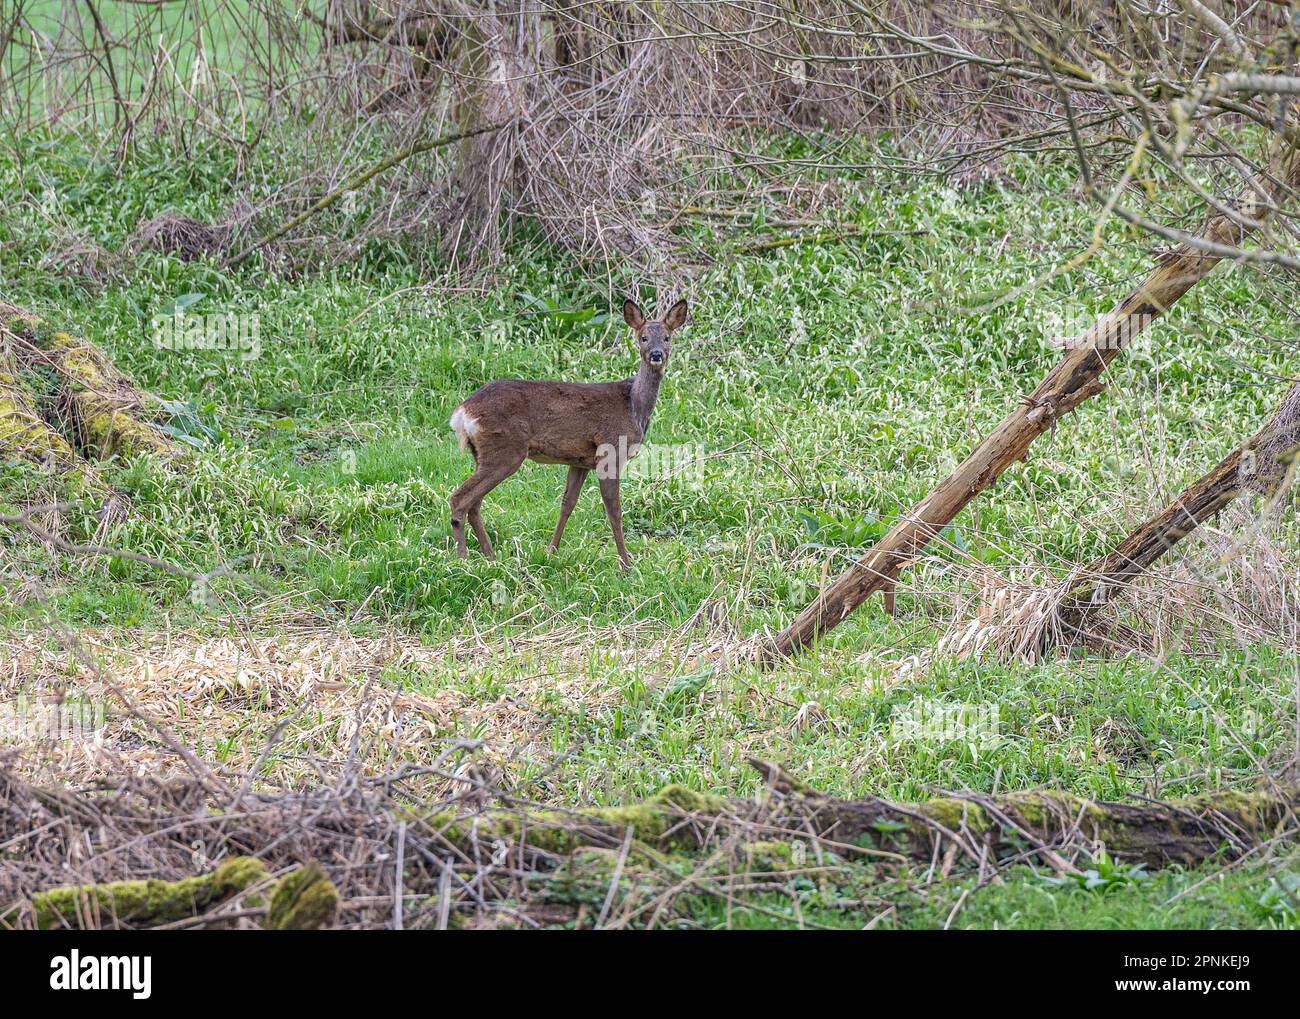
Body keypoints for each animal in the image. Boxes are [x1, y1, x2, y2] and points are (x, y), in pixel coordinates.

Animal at [448, 297, 688, 569]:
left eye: (668, 337)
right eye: (643, 337)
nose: (657, 355)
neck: (634, 406)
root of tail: (462, 412)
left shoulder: (580, 461)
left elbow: (567, 503)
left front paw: (551, 551)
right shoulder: (610, 451)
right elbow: (614, 510)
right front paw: (626, 564)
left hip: (481, 453)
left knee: (474, 503)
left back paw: (490, 556)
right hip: (506, 450)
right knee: (460, 498)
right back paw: (462, 559)